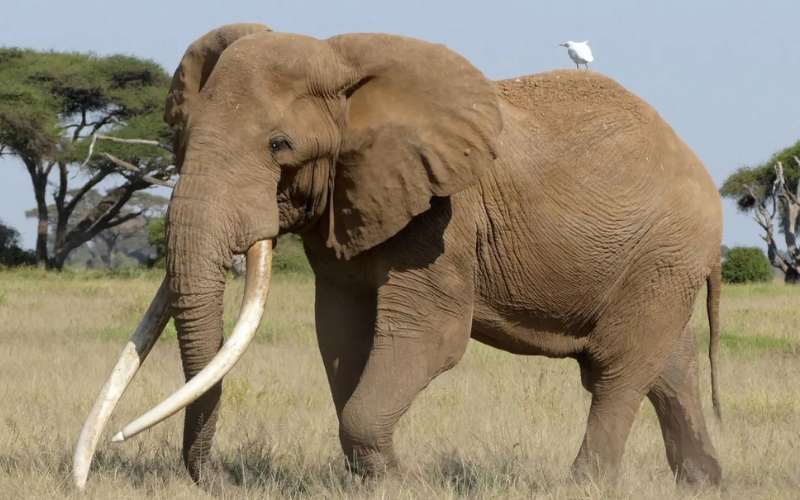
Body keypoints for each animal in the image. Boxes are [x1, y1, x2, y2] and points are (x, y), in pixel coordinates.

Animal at [73, 22, 725, 492]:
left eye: (279, 145)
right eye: (182, 140)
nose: (215, 482)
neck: (342, 68)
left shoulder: (444, 214)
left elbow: (428, 336)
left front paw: (408, 481)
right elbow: (342, 334)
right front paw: (375, 480)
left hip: (665, 252)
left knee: (617, 369)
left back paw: (585, 486)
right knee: (670, 363)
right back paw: (704, 483)